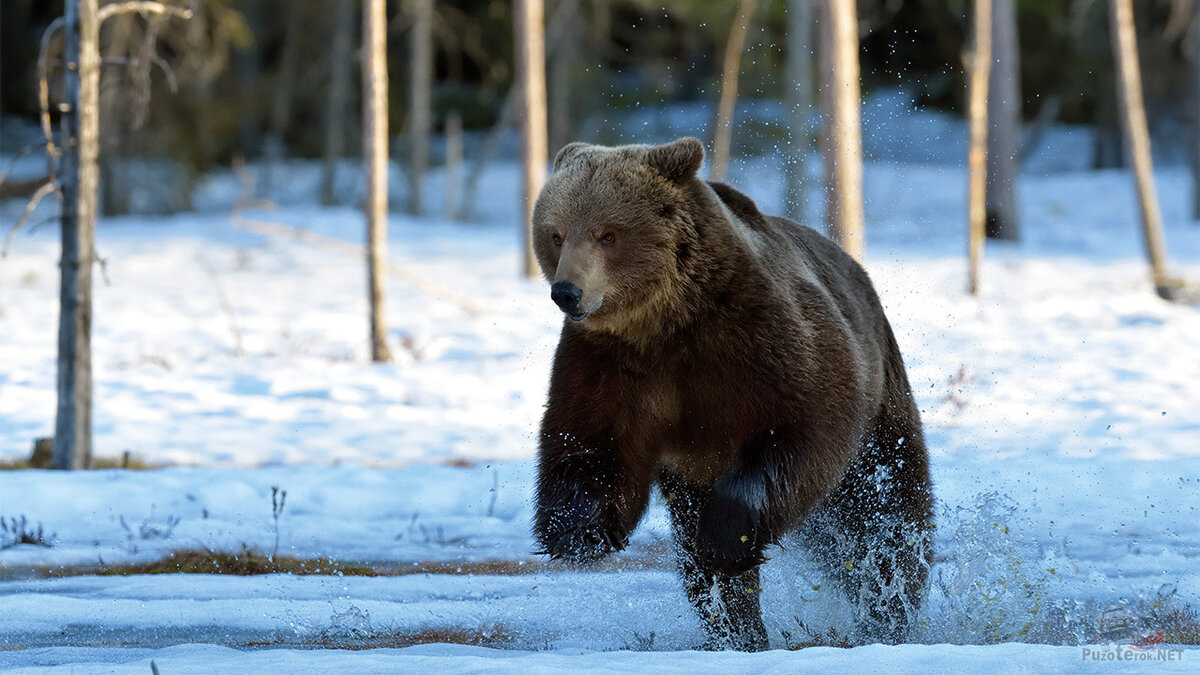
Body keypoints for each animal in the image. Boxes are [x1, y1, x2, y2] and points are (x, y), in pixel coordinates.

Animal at [530, 135, 931, 648]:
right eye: (556, 234)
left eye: (608, 234)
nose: (568, 292)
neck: (670, 322)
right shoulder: (611, 364)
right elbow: (591, 441)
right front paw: (577, 530)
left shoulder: (761, 338)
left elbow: (805, 425)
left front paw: (726, 535)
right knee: (698, 563)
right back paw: (739, 629)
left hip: (883, 406)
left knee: (885, 513)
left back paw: (890, 608)